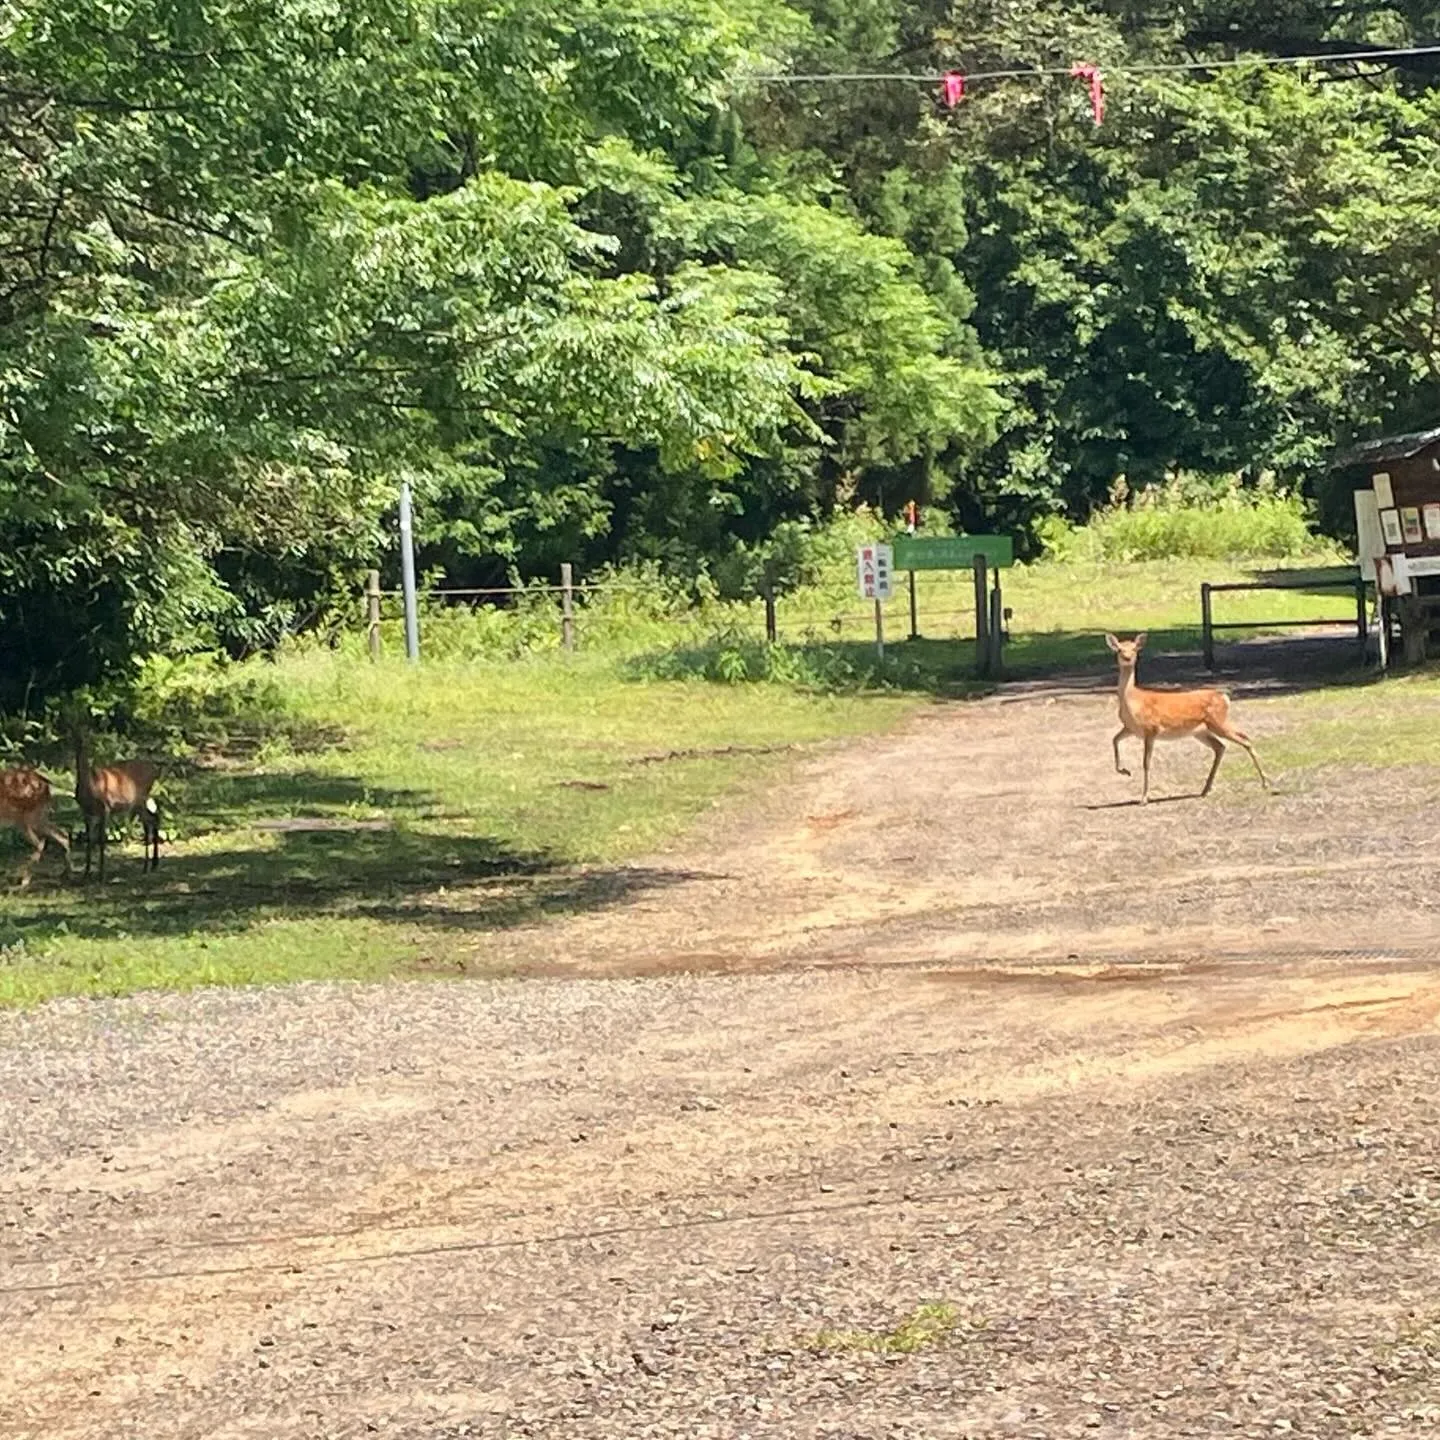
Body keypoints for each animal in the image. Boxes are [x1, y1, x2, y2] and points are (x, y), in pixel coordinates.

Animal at [74, 732, 161, 880]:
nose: (80, 745)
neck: (90, 785)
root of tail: (155, 770)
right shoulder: (86, 812)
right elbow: (89, 840)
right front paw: (86, 873)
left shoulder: (106, 808)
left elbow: (101, 840)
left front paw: (101, 875)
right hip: (139, 803)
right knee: (153, 819)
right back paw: (153, 865)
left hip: (140, 798)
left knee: (149, 823)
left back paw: (147, 867)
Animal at [1106, 633, 1270, 803]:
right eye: (1119, 649)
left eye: (1134, 649)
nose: (1127, 658)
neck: (1133, 702)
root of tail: (1224, 697)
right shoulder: (1130, 728)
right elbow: (1114, 740)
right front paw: (1124, 771)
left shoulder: (1151, 729)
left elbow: (1146, 763)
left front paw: (1144, 798)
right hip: (1202, 731)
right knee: (1222, 746)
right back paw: (1205, 789)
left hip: (1217, 722)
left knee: (1244, 741)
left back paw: (1265, 782)